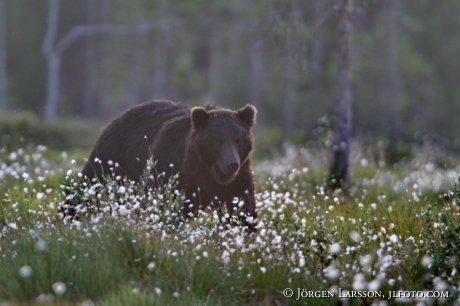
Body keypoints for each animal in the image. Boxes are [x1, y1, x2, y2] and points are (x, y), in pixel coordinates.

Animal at [77, 101, 256, 224]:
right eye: (218, 140)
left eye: (238, 140)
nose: (232, 163)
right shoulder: (172, 170)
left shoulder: (236, 182)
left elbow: (242, 210)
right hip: (111, 158)